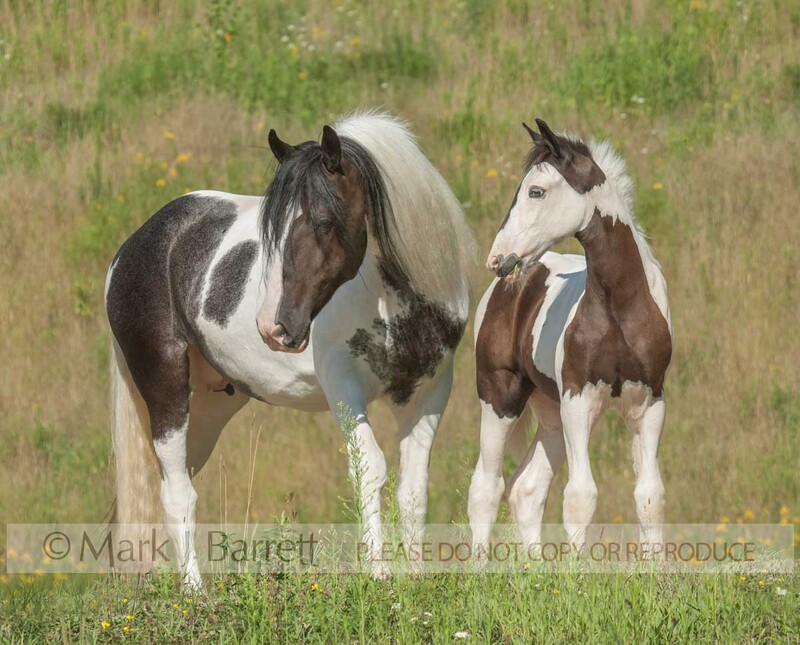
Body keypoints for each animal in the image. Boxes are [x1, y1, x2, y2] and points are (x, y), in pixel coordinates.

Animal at [105, 111, 476, 586]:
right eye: (273, 230)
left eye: (323, 222)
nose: (273, 326)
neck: (392, 299)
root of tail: (133, 246)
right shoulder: (343, 387)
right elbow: (370, 468)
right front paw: (377, 574)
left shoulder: (429, 391)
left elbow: (413, 487)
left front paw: (414, 577)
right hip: (165, 389)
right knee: (177, 494)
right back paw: (193, 592)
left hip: (211, 403)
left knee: (171, 483)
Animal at [467, 119, 672, 554]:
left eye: (536, 191)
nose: (498, 258)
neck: (621, 308)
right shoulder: (579, 401)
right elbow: (580, 497)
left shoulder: (650, 403)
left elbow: (650, 496)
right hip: (500, 397)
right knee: (486, 488)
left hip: (550, 413)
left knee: (526, 489)